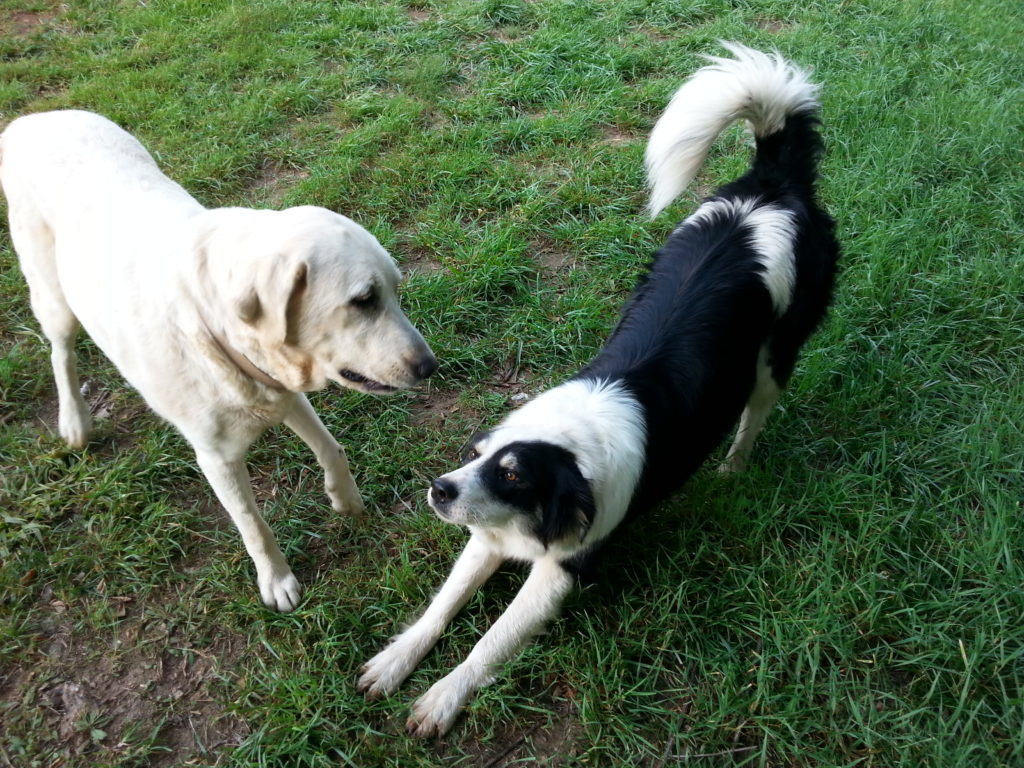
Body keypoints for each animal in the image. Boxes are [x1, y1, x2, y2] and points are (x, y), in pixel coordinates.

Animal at [0, 109, 436, 614]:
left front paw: (345, 499)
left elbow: (332, 448)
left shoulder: (283, 392)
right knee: (61, 351)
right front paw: (276, 580)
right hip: (52, 296)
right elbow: (253, 524)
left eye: (396, 290)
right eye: (364, 300)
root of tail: (31, 119)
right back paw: (74, 421)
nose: (430, 367)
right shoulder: (215, 457)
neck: (215, 327)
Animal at [360, 43, 839, 741]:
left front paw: (443, 697)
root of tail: (774, 186)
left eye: (514, 474)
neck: (573, 452)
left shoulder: (560, 571)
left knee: (756, 413)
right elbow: (442, 607)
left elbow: (488, 642)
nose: (439, 489)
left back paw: (733, 468)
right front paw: (397, 660)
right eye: (477, 454)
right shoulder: (486, 537)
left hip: (775, 358)